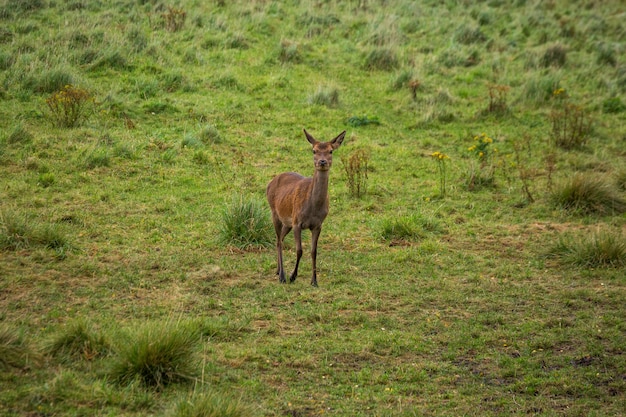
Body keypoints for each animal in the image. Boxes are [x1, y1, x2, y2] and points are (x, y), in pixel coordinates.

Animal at [264, 130, 346, 286]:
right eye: (314, 150)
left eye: (330, 151)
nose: (322, 162)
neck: (313, 209)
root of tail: (270, 182)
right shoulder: (297, 222)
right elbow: (299, 250)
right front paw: (292, 276)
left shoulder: (318, 225)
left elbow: (314, 251)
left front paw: (314, 281)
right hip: (275, 214)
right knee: (278, 241)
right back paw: (282, 276)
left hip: (287, 223)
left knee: (280, 239)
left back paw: (278, 270)